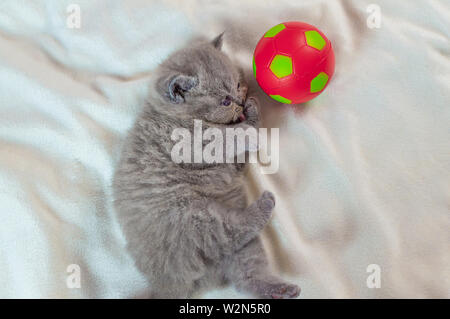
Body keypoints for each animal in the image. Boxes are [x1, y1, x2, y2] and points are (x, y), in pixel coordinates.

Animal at [112, 35, 300, 300]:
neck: (179, 118)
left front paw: (252, 111)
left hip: (242, 247)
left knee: (245, 273)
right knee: (230, 232)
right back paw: (265, 204)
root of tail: (167, 285)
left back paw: (280, 290)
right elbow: (230, 136)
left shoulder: (230, 162)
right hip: (193, 216)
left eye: (238, 85)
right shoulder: (193, 145)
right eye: (225, 100)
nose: (240, 101)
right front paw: (249, 128)